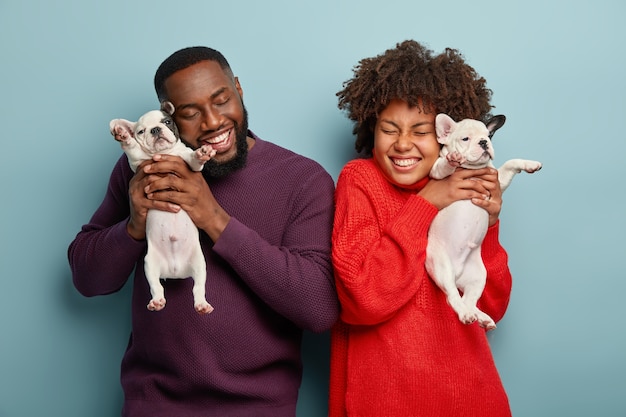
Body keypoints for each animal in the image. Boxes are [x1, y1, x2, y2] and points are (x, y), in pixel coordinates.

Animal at [111, 102, 217, 314]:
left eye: (167, 122)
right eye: (141, 131)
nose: (155, 129)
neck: (166, 153)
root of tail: (176, 272)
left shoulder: (187, 161)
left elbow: (194, 161)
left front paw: (201, 154)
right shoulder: (138, 162)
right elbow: (133, 148)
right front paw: (124, 136)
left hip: (199, 263)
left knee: (198, 287)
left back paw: (202, 304)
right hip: (149, 264)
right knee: (156, 286)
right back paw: (157, 301)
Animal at [424, 114, 540, 328]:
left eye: (488, 135)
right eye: (465, 139)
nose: (484, 142)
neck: (474, 169)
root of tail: (457, 273)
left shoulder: (498, 181)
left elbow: (510, 163)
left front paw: (529, 164)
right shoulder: (435, 172)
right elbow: (444, 166)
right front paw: (453, 158)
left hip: (479, 276)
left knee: (469, 299)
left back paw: (481, 317)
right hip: (441, 267)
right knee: (453, 297)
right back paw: (466, 314)